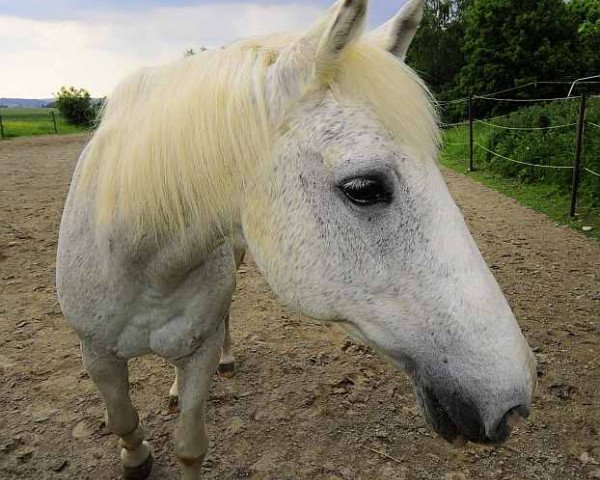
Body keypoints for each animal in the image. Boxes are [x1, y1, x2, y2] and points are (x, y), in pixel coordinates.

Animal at [55, 0, 536, 480]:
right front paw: (135, 458)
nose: (512, 403)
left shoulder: (199, 350)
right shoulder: (97, 354)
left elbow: (189, 445)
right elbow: (122, 418)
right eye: (363, 188)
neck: (143, 264)